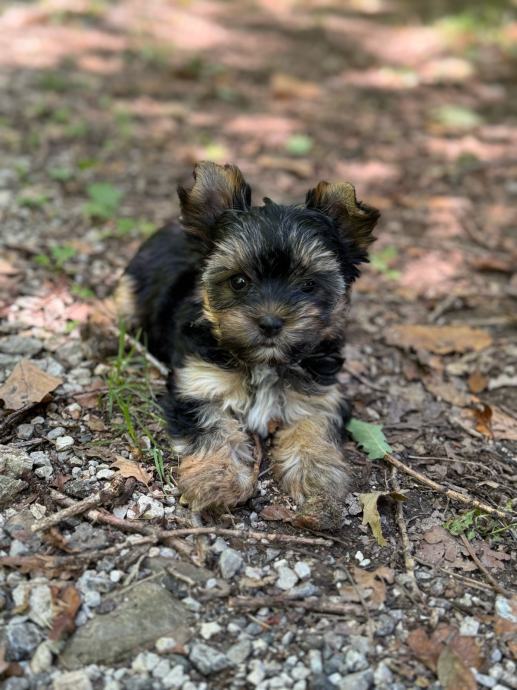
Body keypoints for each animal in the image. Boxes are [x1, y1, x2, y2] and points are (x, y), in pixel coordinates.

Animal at [115, 161, 376, 528]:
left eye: (308, 285)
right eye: (239, 281)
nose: (270, 323)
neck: (263, 363)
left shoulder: (320, 393)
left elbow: (314, 427)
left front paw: (317, 477)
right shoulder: (198, 383)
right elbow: (214, 428)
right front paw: (216, 478)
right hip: (136, 282)